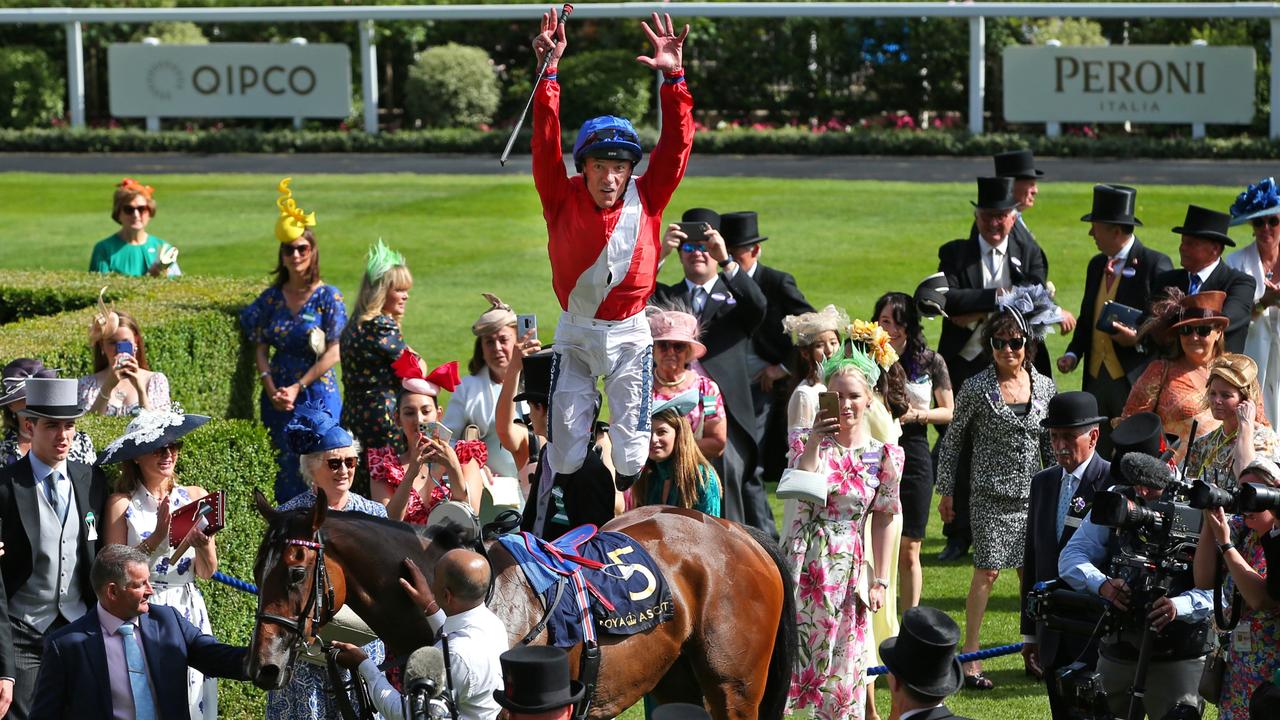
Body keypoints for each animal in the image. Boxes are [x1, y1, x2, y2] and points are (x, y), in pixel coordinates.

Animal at [244, 484, 793, 712]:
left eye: (295, 572)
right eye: (255, 571)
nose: (262, 667)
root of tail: (736, 532)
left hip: (733, 688)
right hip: (679, 681)